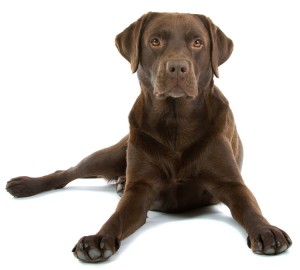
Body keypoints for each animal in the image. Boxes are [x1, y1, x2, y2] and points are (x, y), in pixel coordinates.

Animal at [5, 12, 292, 262]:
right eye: (155, 41)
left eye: (197, 42)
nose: (177, 67)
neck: (175, 123)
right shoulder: (140, 189)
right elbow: (117, 216)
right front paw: (99, 239)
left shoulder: (231, 184)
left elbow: (250, 206)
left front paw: (266, 231)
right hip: (113, 153)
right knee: (69, 171)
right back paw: (26, 185)